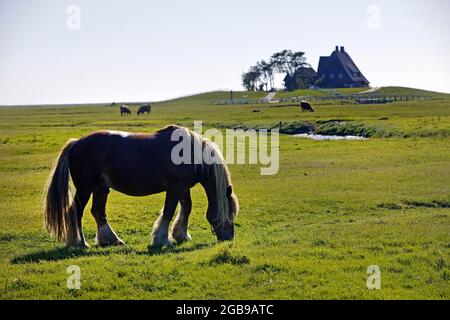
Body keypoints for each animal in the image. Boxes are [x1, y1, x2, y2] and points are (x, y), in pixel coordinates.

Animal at [44, 125, 239, 248]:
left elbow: (186, 208)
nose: (229, 237)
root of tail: (76, 142)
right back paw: (81, 243)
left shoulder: (183, 187)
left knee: (98, 212)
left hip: (100, 188)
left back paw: (111, 240)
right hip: (85, 188)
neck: (189, 153)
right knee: (76, 212)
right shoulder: (175, 188)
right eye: (229, 213)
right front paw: (161, 240)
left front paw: (180, 235)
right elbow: (169, 211)